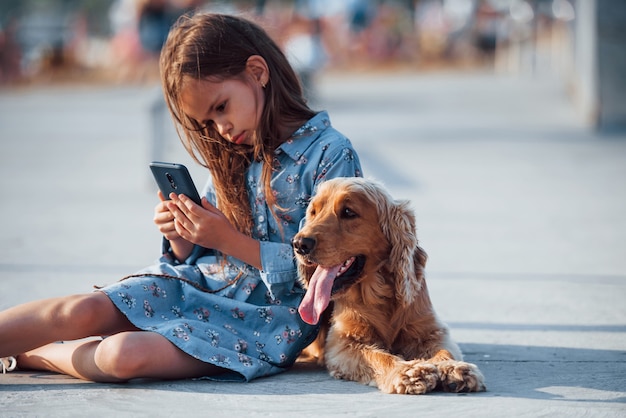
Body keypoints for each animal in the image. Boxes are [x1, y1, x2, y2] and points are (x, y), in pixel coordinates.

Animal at [290, 178, 486, 394]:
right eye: (313, 212)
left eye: (348, 212)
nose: (299, 244)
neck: (379, 293)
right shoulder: (344, 342)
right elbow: (377, 357)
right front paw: (408, 371)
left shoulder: (431, 329)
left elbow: (445, 349)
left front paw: (453, 368)